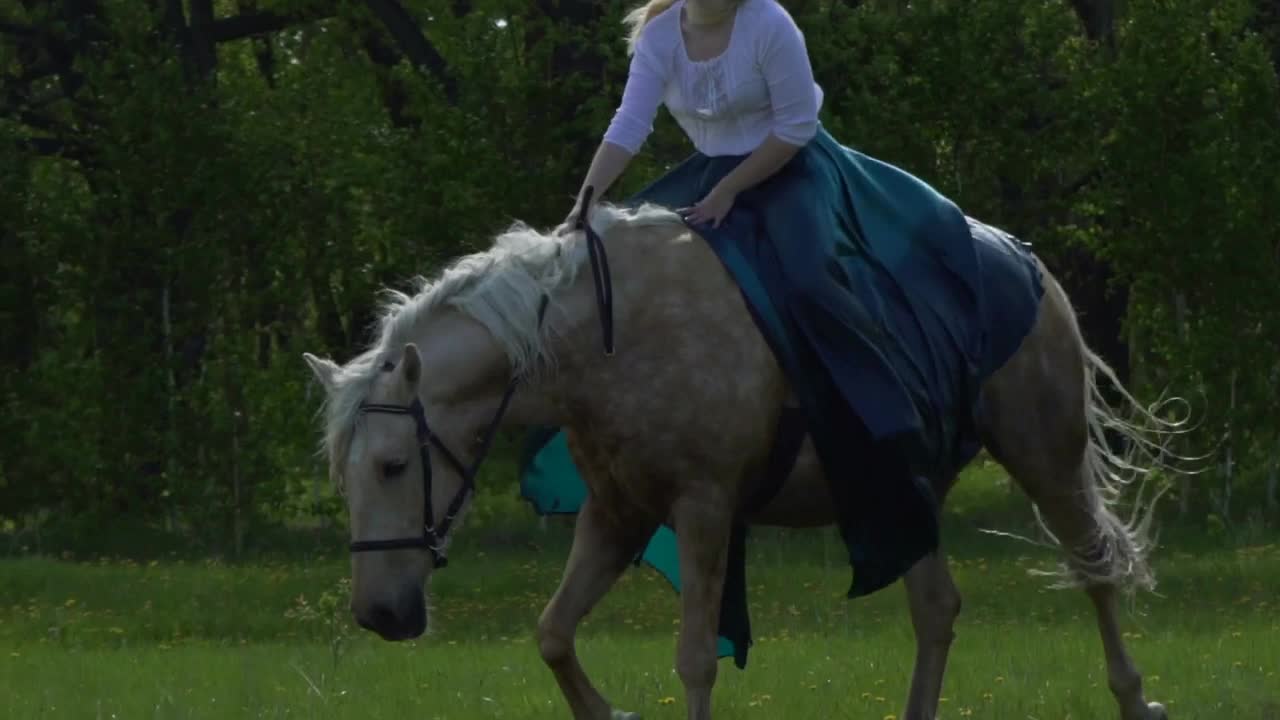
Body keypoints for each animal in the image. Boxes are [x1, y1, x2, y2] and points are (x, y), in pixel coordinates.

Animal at [299, 202, 1177, 717]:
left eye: (391, 467)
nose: (379, 616)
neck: (603, 341)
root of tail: (1030, 266)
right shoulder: (617, 513)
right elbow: (552, 633)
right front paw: (607, 712)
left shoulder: (703, 508)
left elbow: (695, 660)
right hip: (908, 497)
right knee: (937, 609)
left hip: (1047, 459)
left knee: (1094, 569)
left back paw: (1136, 699)